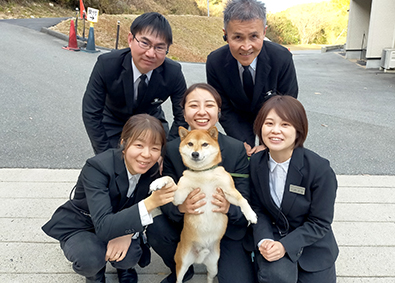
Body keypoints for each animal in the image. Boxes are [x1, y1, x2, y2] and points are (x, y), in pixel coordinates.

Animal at [150, 127, 258, 283]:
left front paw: (251, 215)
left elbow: (243, 199)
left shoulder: (229, 191)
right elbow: (169, 178)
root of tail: (199, 258)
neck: (203, 173)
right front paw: (157, 182)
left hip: (214, 266)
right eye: (190, 144)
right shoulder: (179, 197)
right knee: (179, 278)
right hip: (182, 262)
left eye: (205, 144)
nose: (195, 153)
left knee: (209, 276)